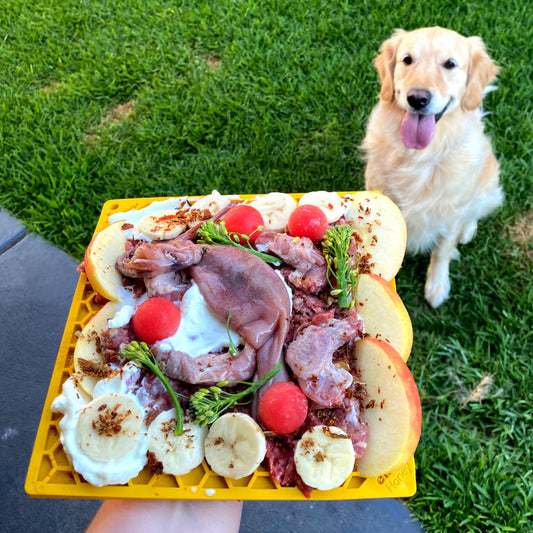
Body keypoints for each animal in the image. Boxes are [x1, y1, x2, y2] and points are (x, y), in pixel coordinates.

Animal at [362, 26, 502, 308]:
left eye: (450, 64)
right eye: (407, 59)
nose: (417, 98)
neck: (419, 156)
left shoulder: (451, 213)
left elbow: (443, 250)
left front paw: (437, 286)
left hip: (489, 184)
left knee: (476, 211)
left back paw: (468, 230)